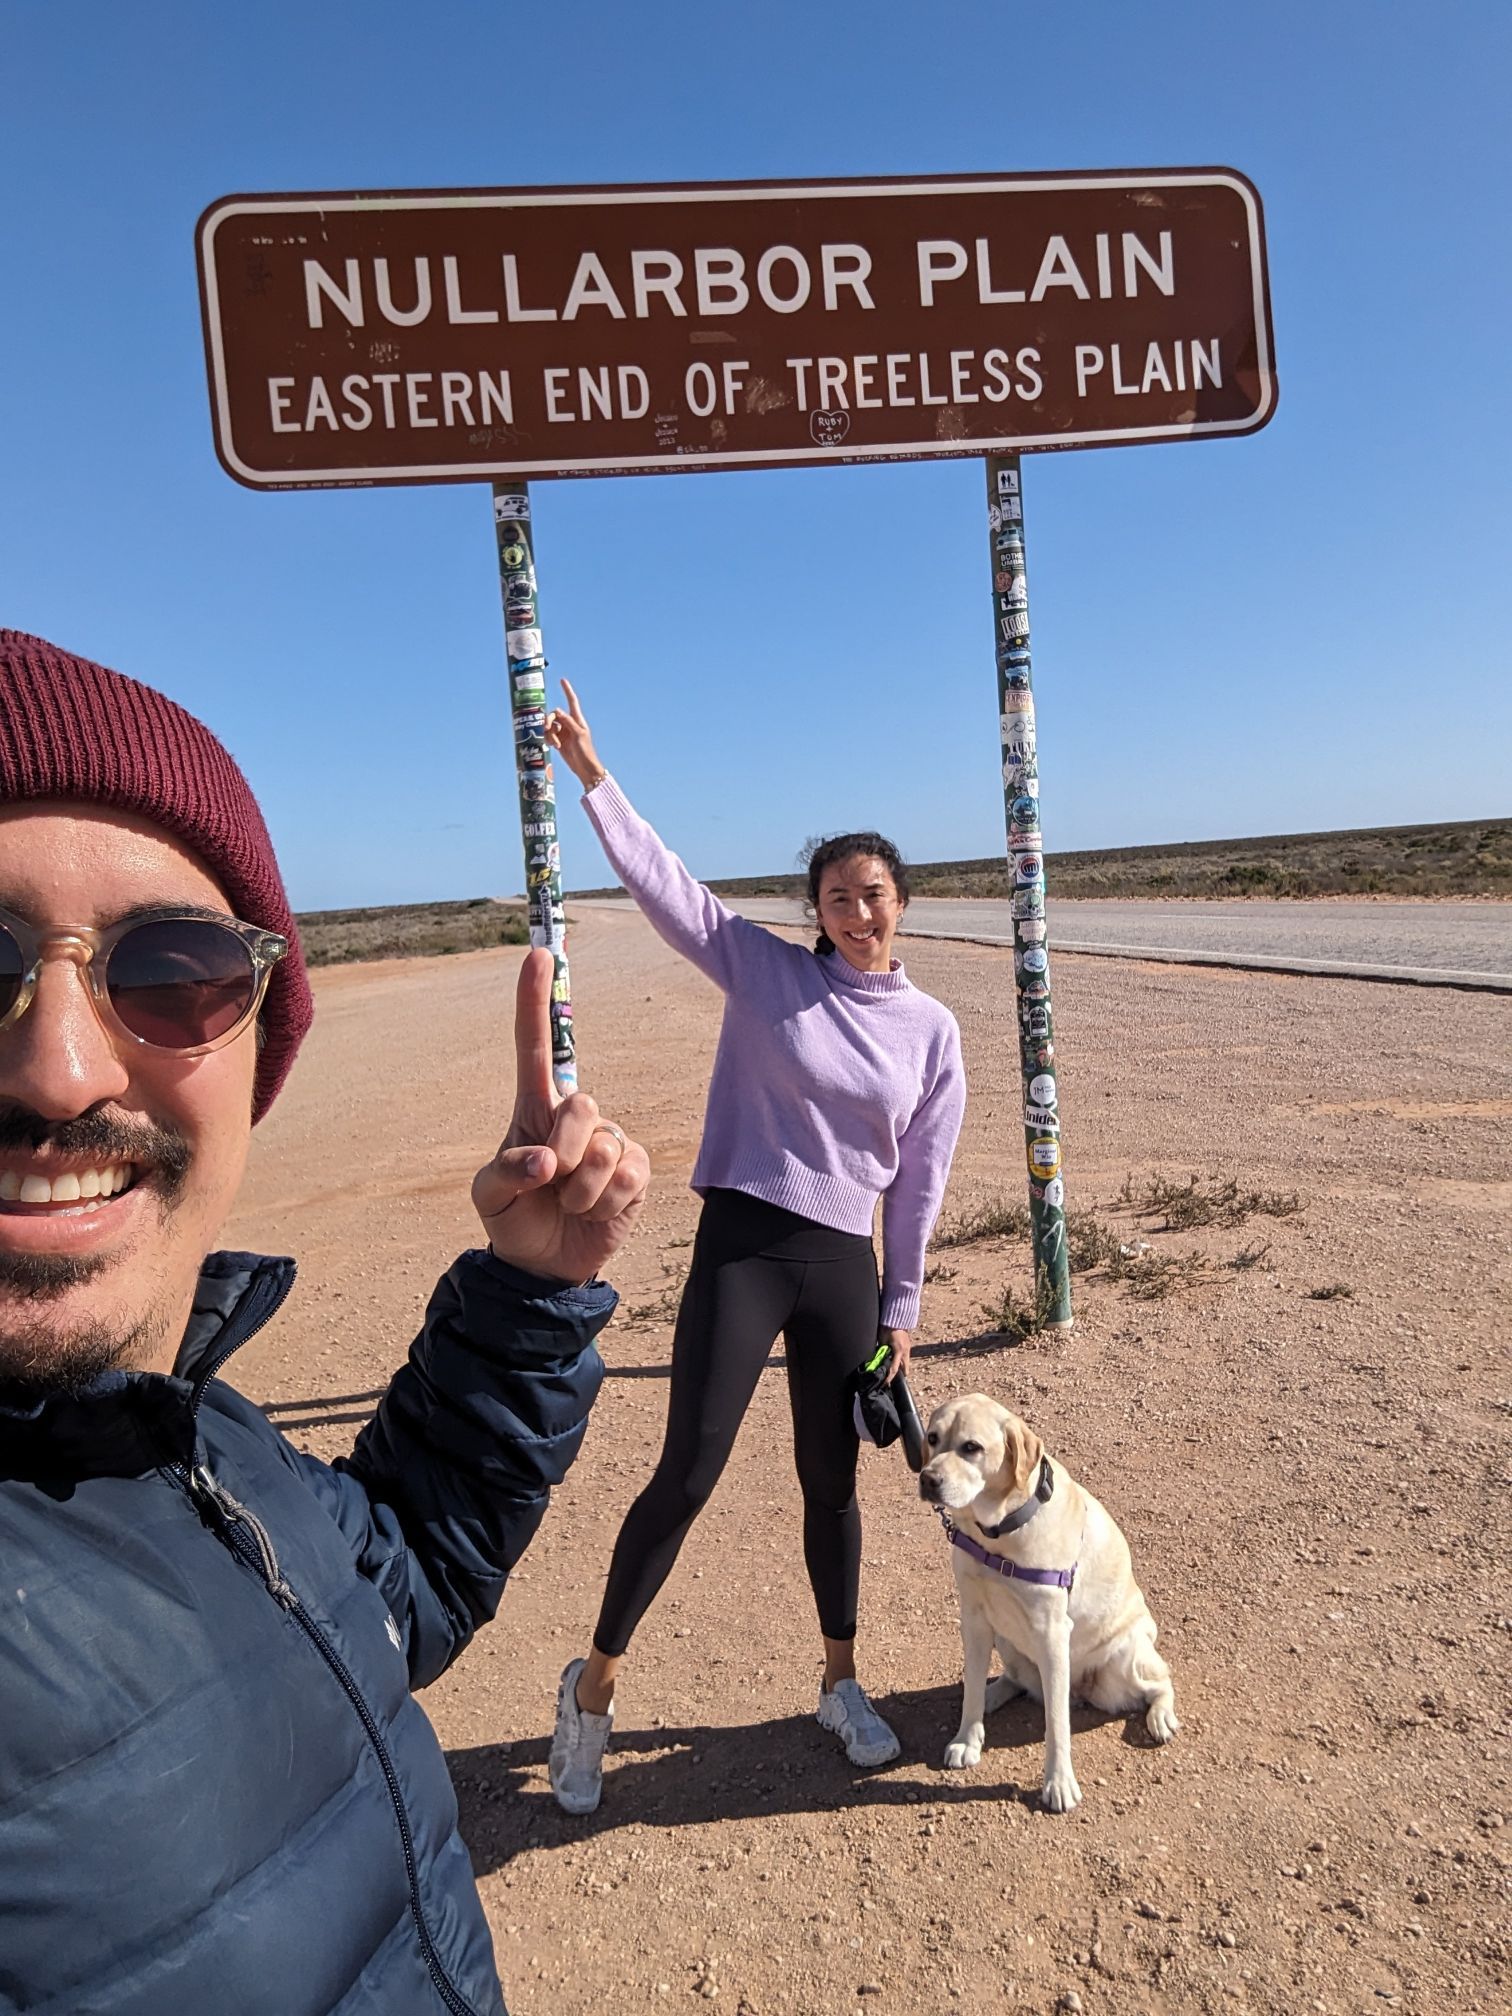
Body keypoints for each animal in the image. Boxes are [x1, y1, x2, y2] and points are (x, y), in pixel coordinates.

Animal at [919, 1403, 1177, 1814]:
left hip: (1124, 1657)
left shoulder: (1053, 1634)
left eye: (971, 1447)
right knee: (1015, 1679)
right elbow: (972, 1687)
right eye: (932, 1438)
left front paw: (1059, 1784)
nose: (927, 1479)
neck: (998, 1532)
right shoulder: (974, 1618)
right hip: (1006, 1637)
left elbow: (1057, 1725)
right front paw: (967, 1739)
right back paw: (994, 1693)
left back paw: (1162, 1716)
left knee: (1160, 1681)